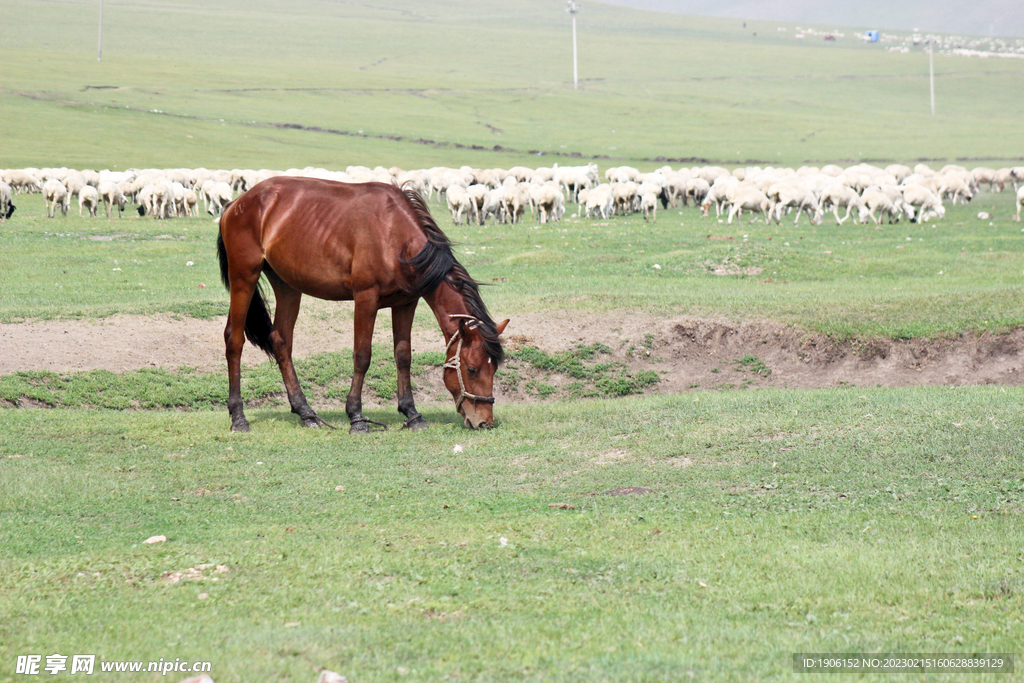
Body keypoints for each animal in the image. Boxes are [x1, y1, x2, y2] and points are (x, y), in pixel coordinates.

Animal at [217, 176, 507, 432]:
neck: (394, 234)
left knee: (281, 341)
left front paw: (411, 413)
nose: (485, 422)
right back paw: (238, 417)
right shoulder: (366, 299)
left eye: (494, 368)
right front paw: (356, 417)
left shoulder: (406, 303)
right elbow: (362, 356)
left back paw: (306, 413)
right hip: (244, 277)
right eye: (472, 369)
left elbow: (403, 356)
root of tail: (237, 203)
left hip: (288, 286)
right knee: (234, 340)